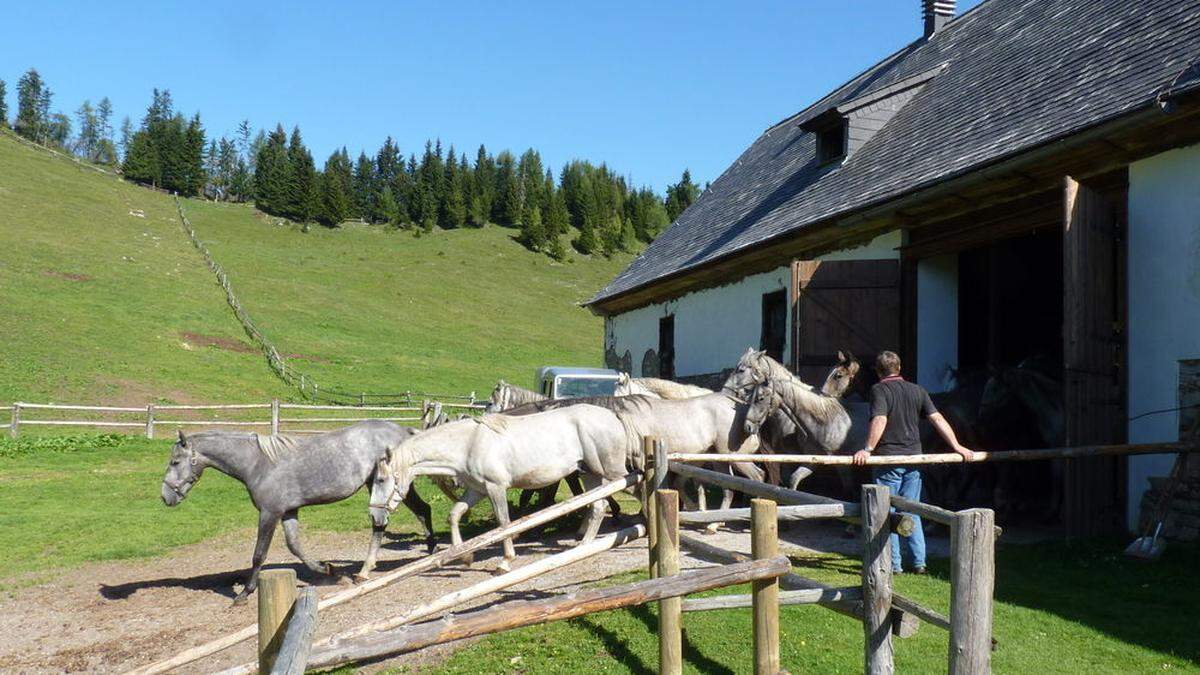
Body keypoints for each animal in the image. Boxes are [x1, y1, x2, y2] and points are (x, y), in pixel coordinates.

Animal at [162, 417, 436, 600]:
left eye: (175, 462)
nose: (165, 497)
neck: (259, 464)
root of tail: (402, 430)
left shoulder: (269, 513)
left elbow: (259, 554)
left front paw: (244, 594)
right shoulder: (288, 512)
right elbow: (295, 547)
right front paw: (331, 572)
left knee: (399, 517)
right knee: (415, 512)